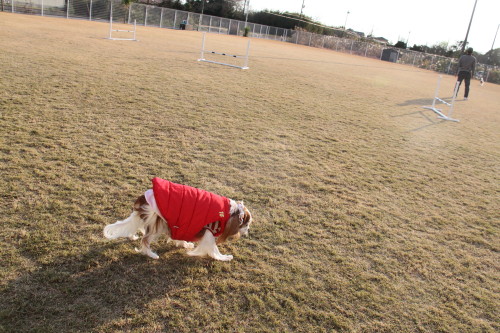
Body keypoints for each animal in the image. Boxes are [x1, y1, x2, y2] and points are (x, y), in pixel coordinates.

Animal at [103, 178, 252, 260]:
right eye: (246, 224)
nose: (247, 232)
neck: (229, 212)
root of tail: (142, 199)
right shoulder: (209, 231)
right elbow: (213, 249)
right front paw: (224, 258)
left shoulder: (183, 223)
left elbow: (180, 237)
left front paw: (185, 244)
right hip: (156, 222)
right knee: (145, 240)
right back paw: (151, 254)